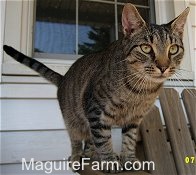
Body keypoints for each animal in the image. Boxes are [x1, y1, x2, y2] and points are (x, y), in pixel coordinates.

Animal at [3, 3, 190, 174]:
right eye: (146, 48)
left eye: (173, 49)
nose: (163, 67)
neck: (141, 91)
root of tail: (63, 79)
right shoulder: (96, 111)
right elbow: (103, 139)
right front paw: (109, 161)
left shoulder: (134, 119)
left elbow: (129, 139)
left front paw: (128, 159)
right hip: (73, 119)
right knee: (77, 139)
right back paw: (77, 156)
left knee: (89, 141)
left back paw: (91, 155)